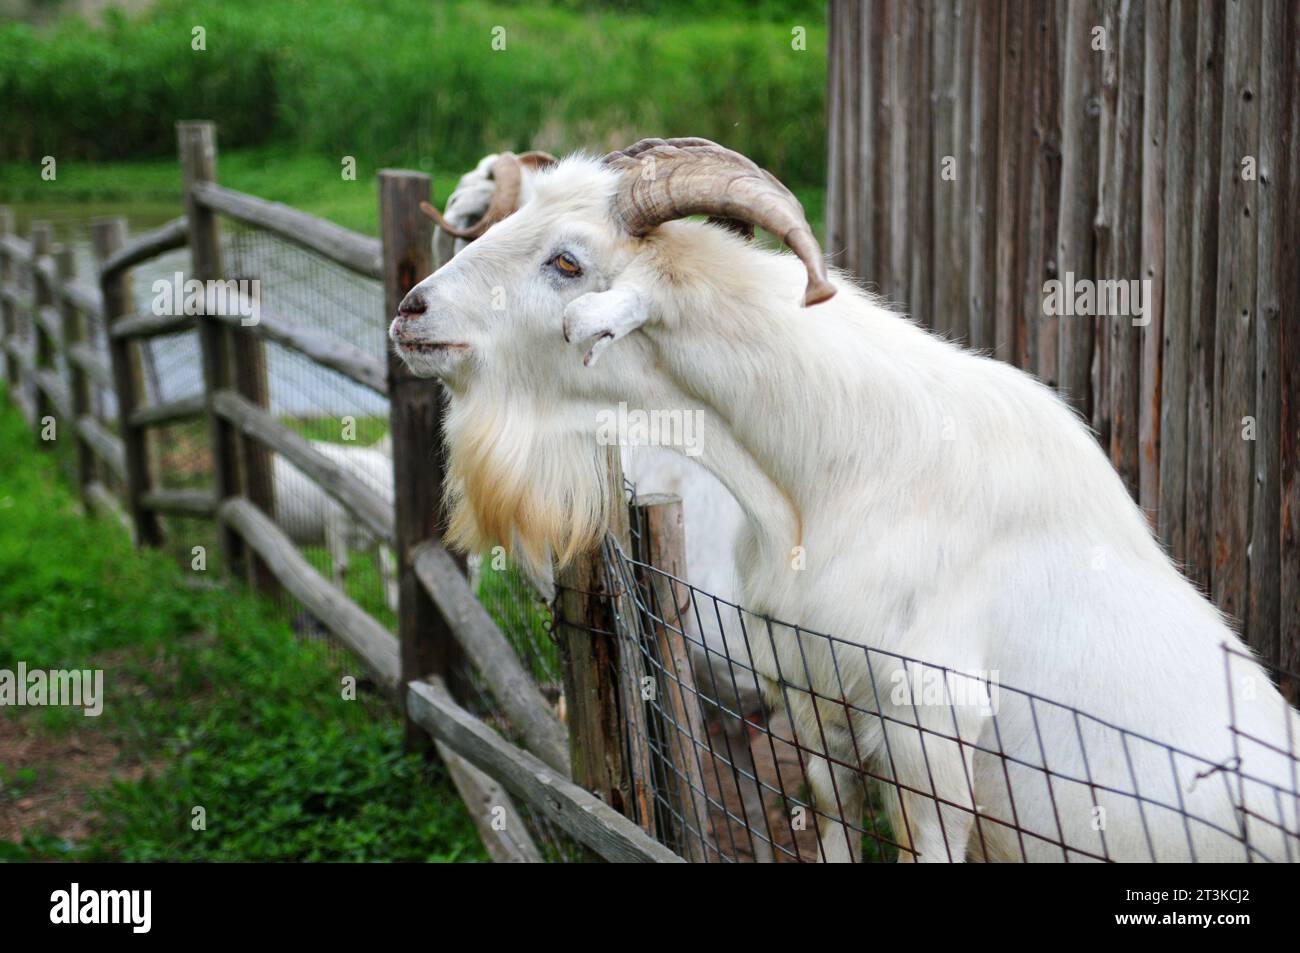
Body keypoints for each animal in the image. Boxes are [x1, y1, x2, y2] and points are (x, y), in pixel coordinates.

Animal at [395, 137, 1300, 858]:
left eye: (568, 262)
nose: (411, 310)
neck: (830, 483)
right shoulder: (807, 693)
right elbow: (829, 817)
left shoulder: (933, 733)